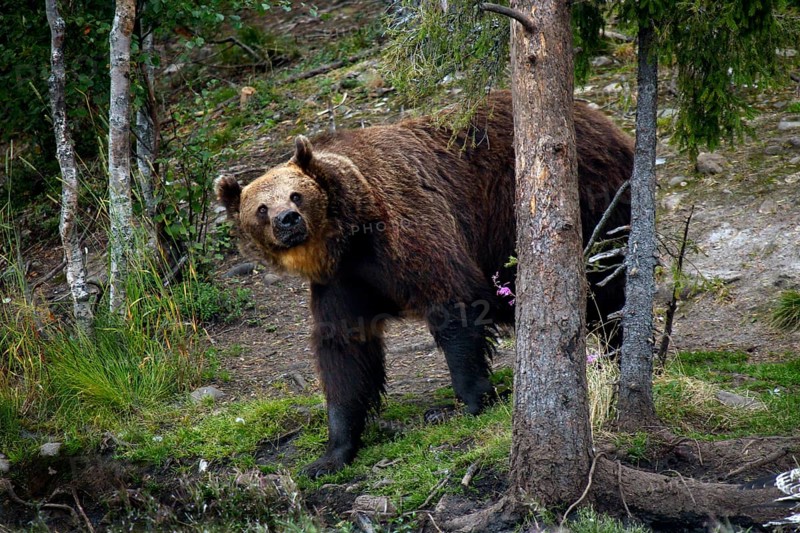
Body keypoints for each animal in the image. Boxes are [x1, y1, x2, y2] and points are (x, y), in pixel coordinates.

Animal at [216, 90, 632, 477]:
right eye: (261, 208)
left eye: (296, 194)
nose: (287, 220)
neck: (351, 237)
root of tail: (601, 119)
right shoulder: (343, 283)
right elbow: (344, 352)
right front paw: (331, 453)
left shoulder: (409, 230)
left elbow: (453, 301)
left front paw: (470, 399)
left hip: (586, 201)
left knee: (606, 287)